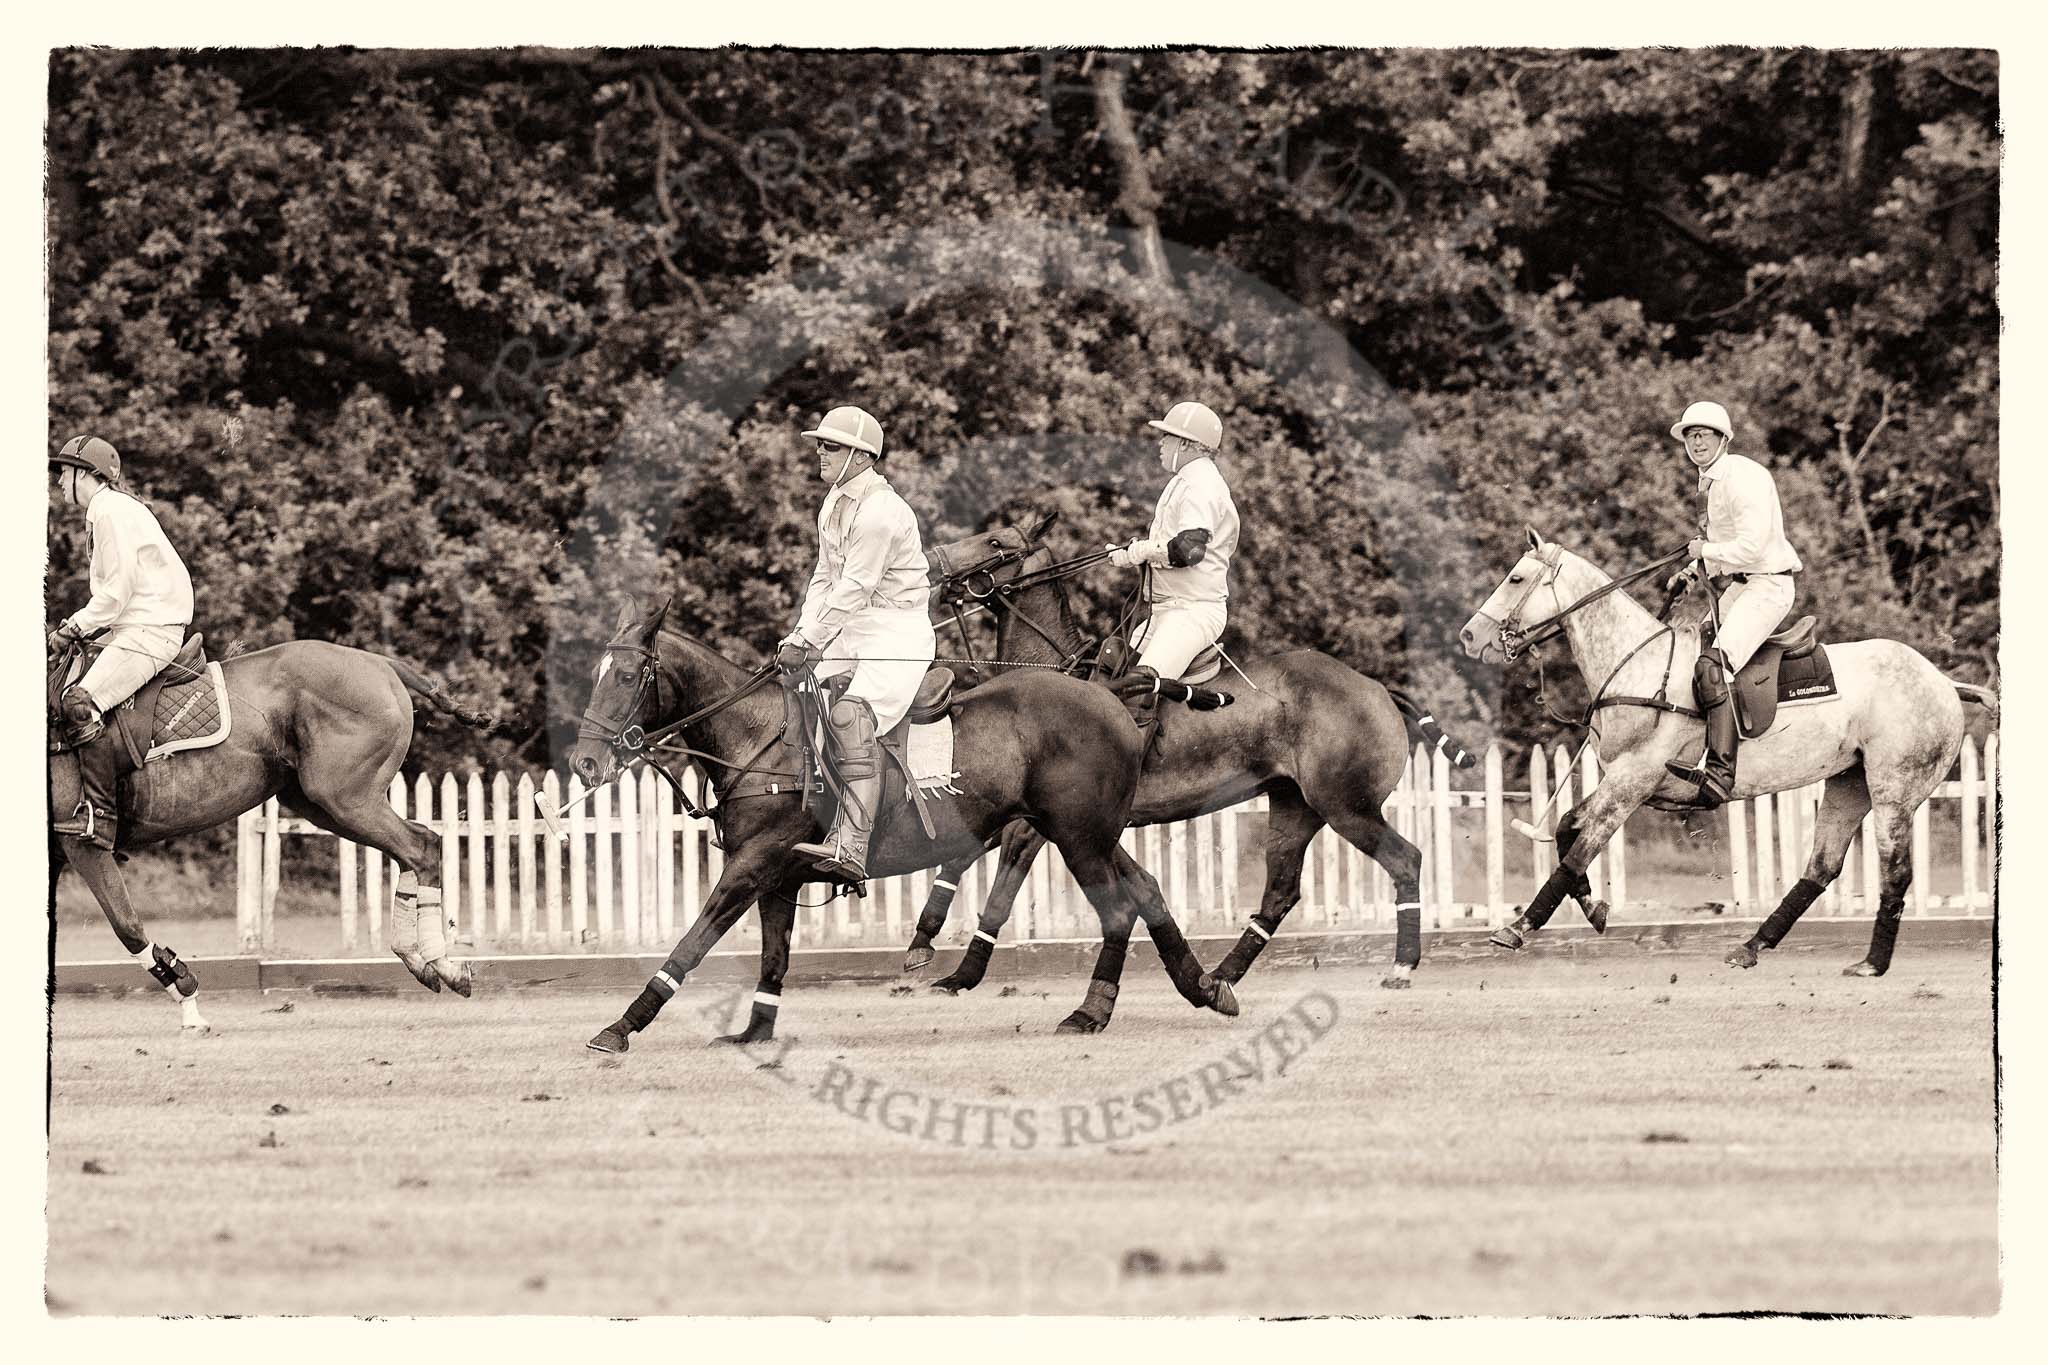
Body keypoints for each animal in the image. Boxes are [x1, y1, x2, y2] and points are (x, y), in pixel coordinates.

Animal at [49, 634, 497, 1031]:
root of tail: (384, 664)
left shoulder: (80, 841)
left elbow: (126, 926)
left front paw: (189, 1002)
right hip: (322, 804)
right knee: (416, 846)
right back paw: (424, 962)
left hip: (345, 797)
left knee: (420, 846)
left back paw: (443, 966)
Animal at [565, 593, 1228, 1055]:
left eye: (626, 676)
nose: (585, 763)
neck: (756, 738)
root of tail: (1113, 695)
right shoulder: (778, 878)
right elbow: (774, 959)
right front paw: (754, 1033)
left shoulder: (751, 867)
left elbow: (691, 944)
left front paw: (619, 1028)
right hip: (1089, 832)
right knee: (1144, 888)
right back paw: (1204, 987)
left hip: (1079, 837)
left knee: (1118, 908)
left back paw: (1090, 1012)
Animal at [901, 511, 1474, 994]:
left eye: (996, 542)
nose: (931, 564)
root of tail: (1377, 687)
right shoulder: (1034, 811)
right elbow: (961, 858)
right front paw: (926, 949)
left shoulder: (1036, 820)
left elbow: (999, 882)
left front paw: (956, 971)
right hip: (1295, 804)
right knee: (1280, 891)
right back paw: (1221, 976)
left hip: (1346, 805)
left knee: (1405, 859)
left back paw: (1401, 966)